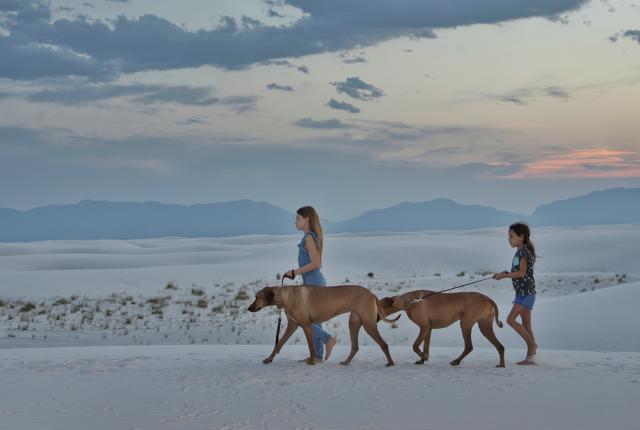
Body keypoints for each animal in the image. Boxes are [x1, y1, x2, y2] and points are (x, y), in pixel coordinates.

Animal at [248, 286, 398, 366]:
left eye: (257, 297)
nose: (249, 308)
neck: (286, 296)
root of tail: (372, 294)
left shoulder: (306, 325)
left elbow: (311, 346)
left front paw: (312, 362)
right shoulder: (293, 325)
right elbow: (278, 344)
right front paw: (269, 359)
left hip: (368, 324)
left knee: (384, 344)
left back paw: (391, 363)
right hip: (354, 322)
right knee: (355, 347)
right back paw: (346, 362)